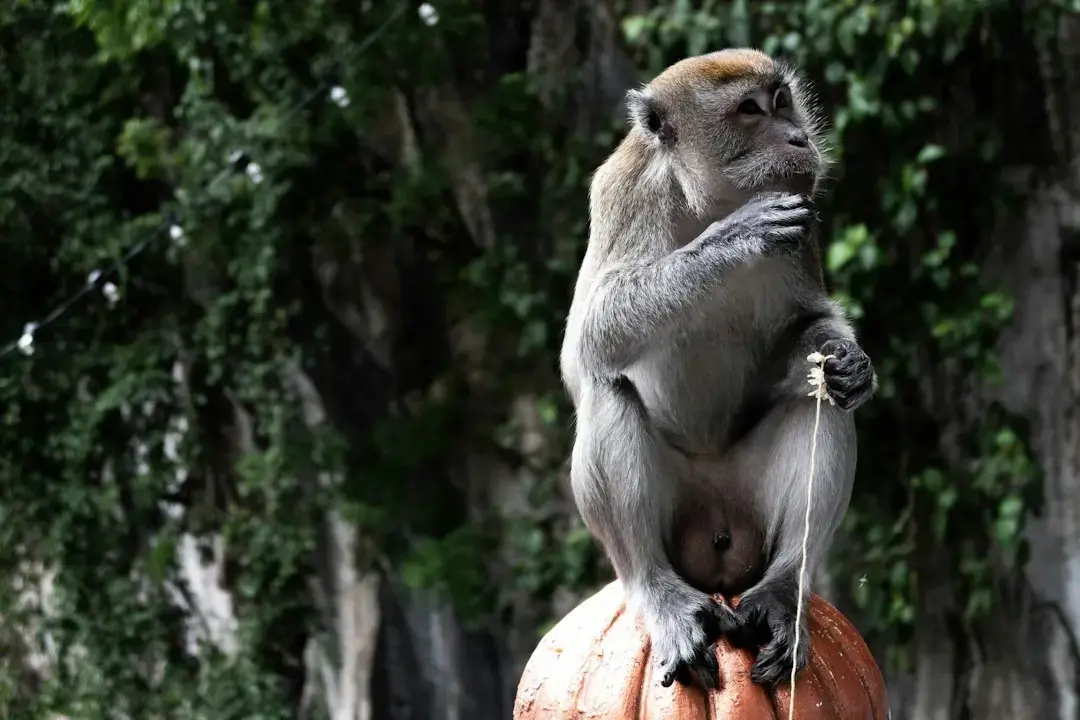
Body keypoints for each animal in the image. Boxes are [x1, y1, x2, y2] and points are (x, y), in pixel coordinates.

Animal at [558, 48, 876, 691]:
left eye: (781, 100)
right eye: (749, 111)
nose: (799, 138)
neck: (704, 202)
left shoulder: (804, 218)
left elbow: (811, 325)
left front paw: (853, 364)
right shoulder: (625, 196)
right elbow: (587, 343)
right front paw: (734, 238)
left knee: (818, 398)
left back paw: (784, 588)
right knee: (608, 388)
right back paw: (660, 595)